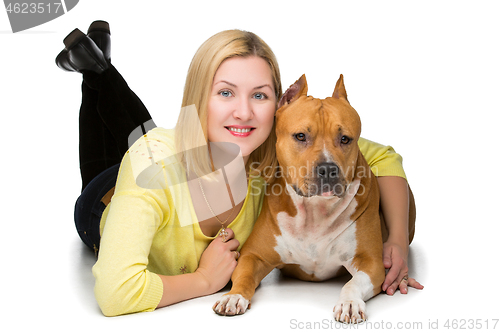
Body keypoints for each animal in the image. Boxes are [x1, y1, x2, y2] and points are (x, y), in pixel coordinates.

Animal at [211, 74, 386, 322]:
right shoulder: (253, 255)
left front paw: (350, 303)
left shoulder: (371, 263)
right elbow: (243, 276)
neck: (314, 211)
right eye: (301, 136)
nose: (328, 169)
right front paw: (233, 297)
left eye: (345, 139)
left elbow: (353, 283)